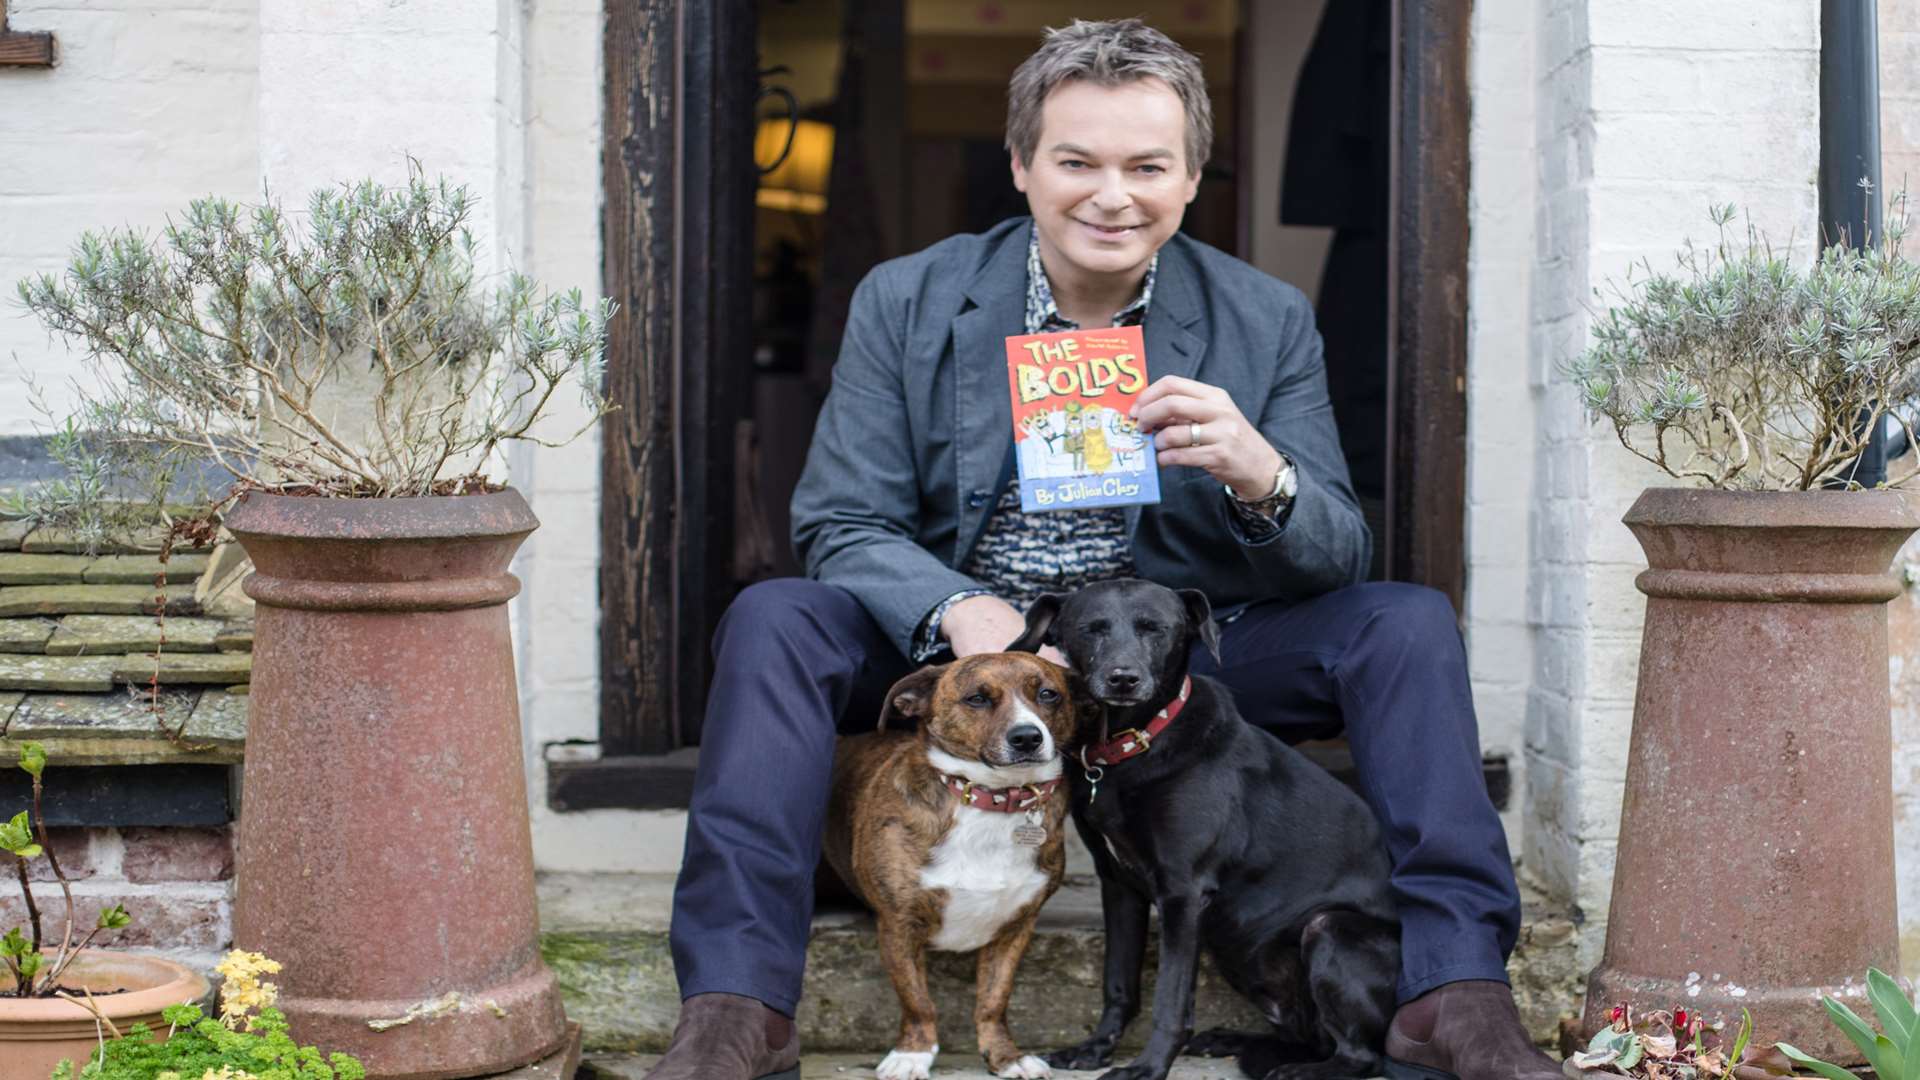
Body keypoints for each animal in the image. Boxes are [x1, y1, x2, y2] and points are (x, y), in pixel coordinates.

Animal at [825, 645, 1090, 1076]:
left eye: (1049, 694)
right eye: (977, 699)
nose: (1027, 737)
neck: (990, 799)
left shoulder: (1015, 929)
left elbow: (993, 1001)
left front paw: (1006, 1056)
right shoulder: (898, 925)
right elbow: (917, 1000)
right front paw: (913, 1054)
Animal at [1013, 580, 1405, 1076]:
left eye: (1155, 629)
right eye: (1091, 629)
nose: (1123, 678)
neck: (1132, 745)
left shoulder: (1183, 892)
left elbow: (1171, 998)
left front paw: (1148, 1067)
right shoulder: (1118, 886)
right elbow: (1118, 982)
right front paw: (1096, 1048)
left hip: (1329, 928)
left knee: (1360, 1055)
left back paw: (1299, 1070)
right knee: (1308, 1038)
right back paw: (1234, 1041)